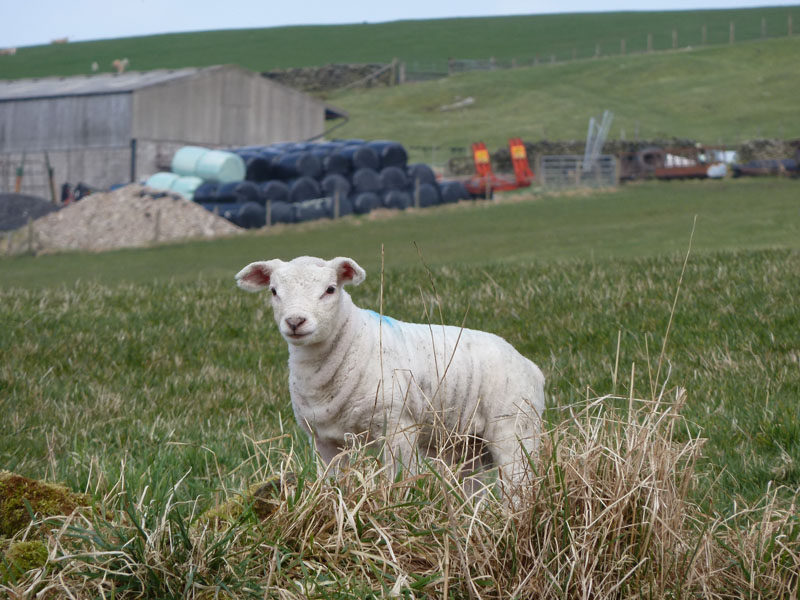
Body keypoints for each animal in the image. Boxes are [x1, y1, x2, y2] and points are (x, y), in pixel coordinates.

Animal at [236, 255, 545, 491]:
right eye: (274, 291)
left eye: (330, 289)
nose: (295, 321)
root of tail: (531, 366)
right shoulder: (324, 441)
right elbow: (334, 482)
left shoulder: (398, 425)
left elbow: (399, 478)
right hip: (465, 446)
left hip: (514, 428)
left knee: (518, 484)